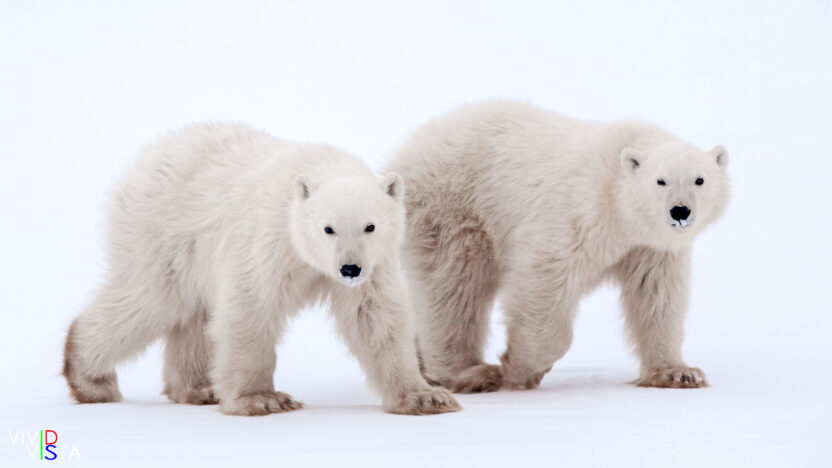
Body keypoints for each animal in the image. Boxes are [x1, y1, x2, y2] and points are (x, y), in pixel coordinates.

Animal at [62, 122, 460, 416]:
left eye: (370, 226)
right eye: (327, 228)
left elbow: (375, 317)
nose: (349, 268)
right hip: (161, 234)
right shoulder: (269, 236)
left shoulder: (375, 264)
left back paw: (199, 387)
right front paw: (263, 399)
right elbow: (251, 304)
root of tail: (143, 160)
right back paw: (89, 378)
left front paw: (425, 397)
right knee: (150, 300)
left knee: (191, 316)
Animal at [385, 100, 730, 393]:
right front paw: (521, 368)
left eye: (699, 179)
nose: (680, 211)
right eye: (660, 180)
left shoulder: (650, 247)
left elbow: (657, 296)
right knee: (454, 286)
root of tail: (403, 152)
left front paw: (678, 372)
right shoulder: (577, 212)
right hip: (454, 207)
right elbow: (543, 279)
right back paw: (471, 373)